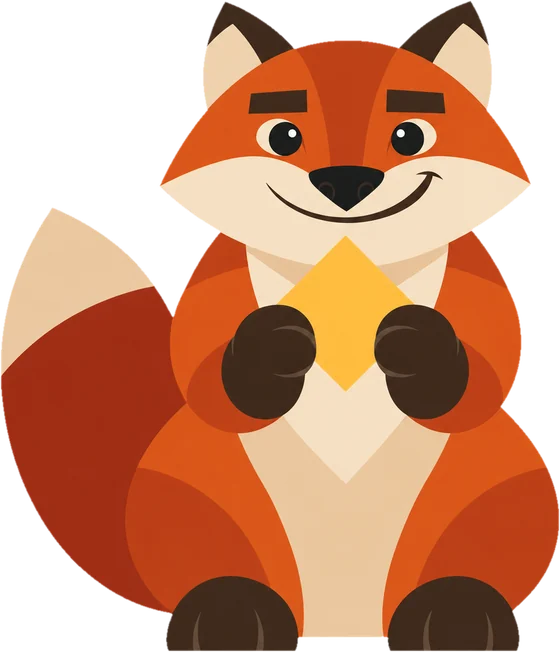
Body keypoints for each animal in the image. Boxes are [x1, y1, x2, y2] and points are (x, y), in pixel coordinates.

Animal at [1, 1, 558, 651]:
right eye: (283, 135)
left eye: (409, 135)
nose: (347, 181)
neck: (344, 261)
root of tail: (341, 622)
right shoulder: (215, 287)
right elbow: (205, 371)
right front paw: (277, 341)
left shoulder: (480, 285)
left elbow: (488, 368)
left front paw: (413, 340)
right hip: (193, 498)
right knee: (224, 576)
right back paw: (231, 616)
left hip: (500, 492)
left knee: (462, 572)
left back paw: (454, 615)